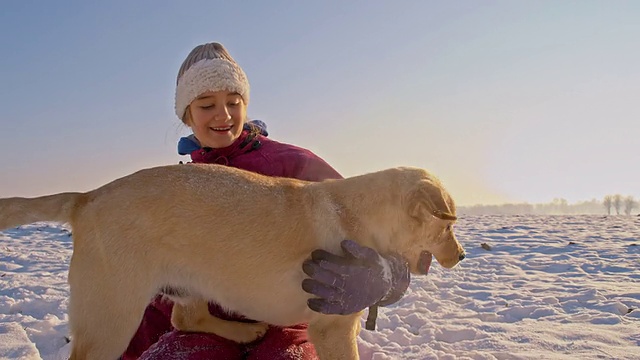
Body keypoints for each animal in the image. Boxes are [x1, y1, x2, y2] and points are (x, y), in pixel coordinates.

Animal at [0, 164, 462, 360]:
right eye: (448, 226)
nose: (460, 256)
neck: (362, 215)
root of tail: (86, 196)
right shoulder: (333, 327)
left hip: (189, 282)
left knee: (185, 318)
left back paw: (244, 332)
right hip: (111, 317)